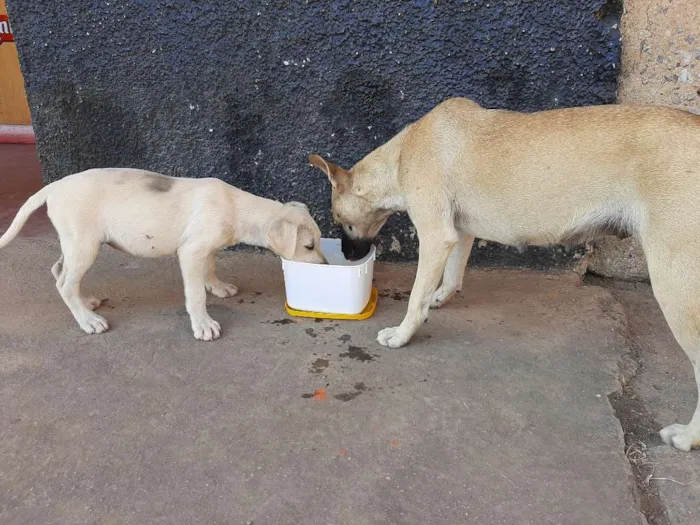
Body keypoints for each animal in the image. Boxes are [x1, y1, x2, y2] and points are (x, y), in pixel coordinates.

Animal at [0, 168, 328, 340]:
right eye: (309, 246)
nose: (325, 265)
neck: (238, 208)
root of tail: (52, 187)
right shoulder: (191, 252)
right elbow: (195, 294)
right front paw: (203, 324)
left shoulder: (204, 248)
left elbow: (210, 267)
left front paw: (218, 287)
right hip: (84, 245)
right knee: (64, 283)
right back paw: (88, 321)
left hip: (74, 243)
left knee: (59, 271)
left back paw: (87, 302)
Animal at [308, 97, 700, 450]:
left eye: (341, 220)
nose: (348, 255)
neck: (403, 153)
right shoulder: (459, 233)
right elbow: (451, 276)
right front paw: (439, 298)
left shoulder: (435, 235)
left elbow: (416, 296)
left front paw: (403, 333)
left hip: (675, 285)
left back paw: (688, 438)